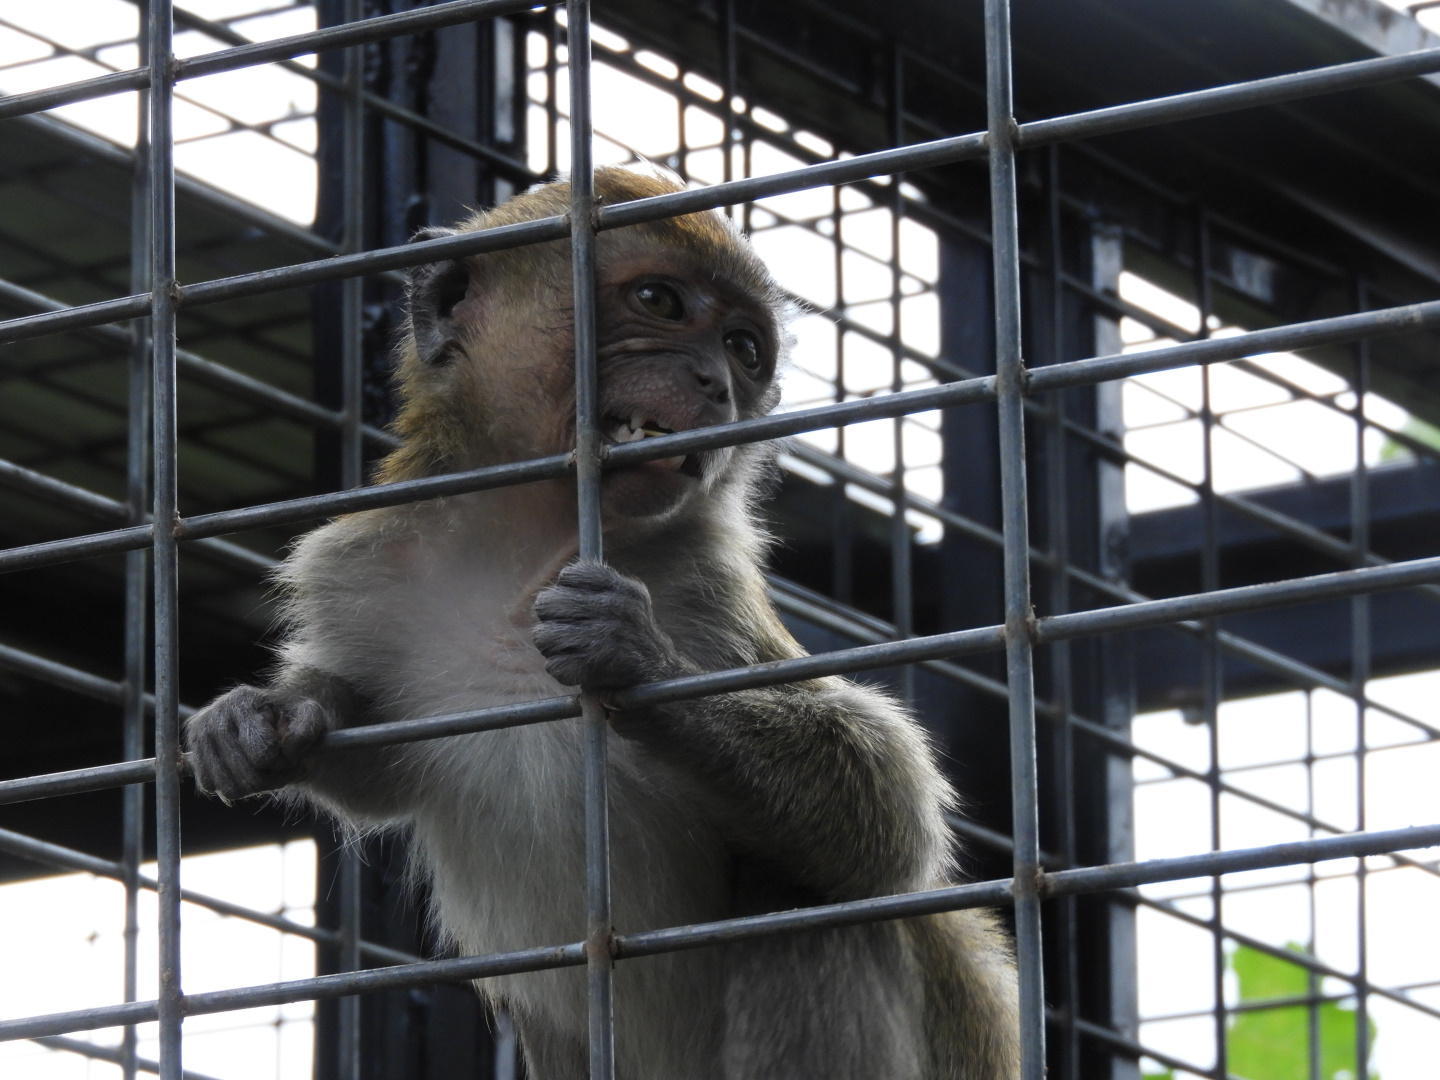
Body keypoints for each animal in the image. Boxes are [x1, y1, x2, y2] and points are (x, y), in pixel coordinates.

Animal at [185, 167, 1020, 1080]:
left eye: (744, 349)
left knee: (810, 902)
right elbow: (374, 767)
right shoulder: (364, 567)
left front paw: (633, 659)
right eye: (659, 300)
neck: (526, 551)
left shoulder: (704, 581)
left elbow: (891, 818)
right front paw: (268, 718)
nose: (715, 384)